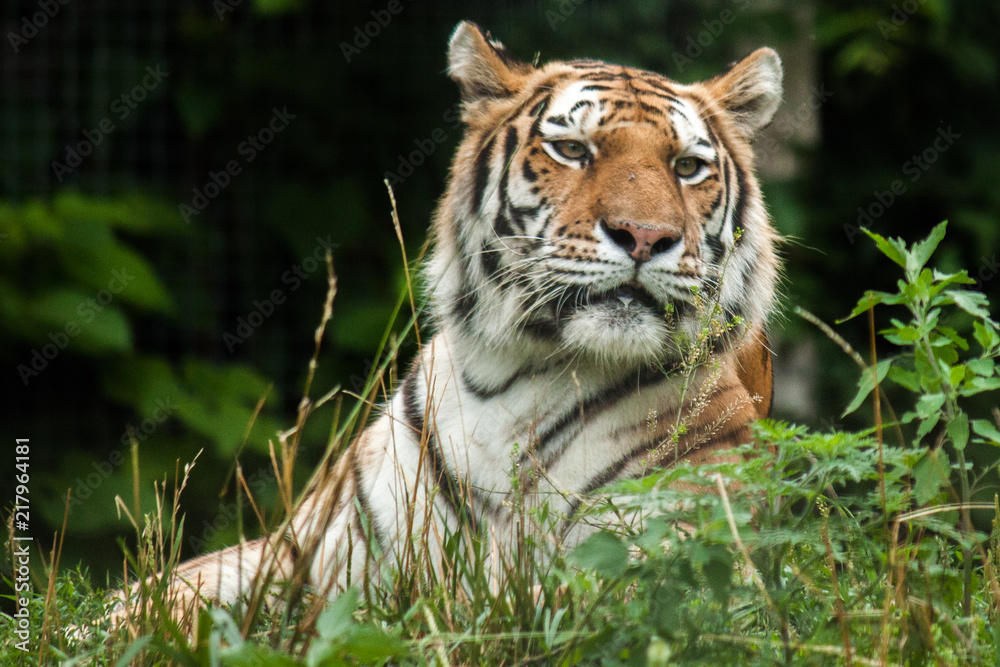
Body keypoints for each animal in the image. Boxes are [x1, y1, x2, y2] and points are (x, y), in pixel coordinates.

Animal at [140, 20, 783, 613]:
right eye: (573, 150)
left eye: (687, 167)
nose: (645, 236)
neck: (523, 380)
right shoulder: (295, 553)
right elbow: (154, 599)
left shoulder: (696, 564)